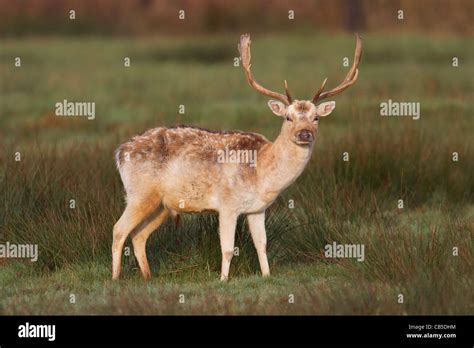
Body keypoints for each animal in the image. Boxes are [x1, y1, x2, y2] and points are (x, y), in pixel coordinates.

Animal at [112, 34, 362, 282]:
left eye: (316, 118)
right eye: (288, 117)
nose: (304, 134)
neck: (261, 172)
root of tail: (120, 152)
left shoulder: (257, 209)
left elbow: (261, 244)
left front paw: (267, 275)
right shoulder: (227, 205)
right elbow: (227, 248)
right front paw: (223, 279)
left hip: (162, 204)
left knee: (139, 235)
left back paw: (148, 276)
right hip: (140, 193)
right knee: (119, 229)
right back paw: (115, 278)